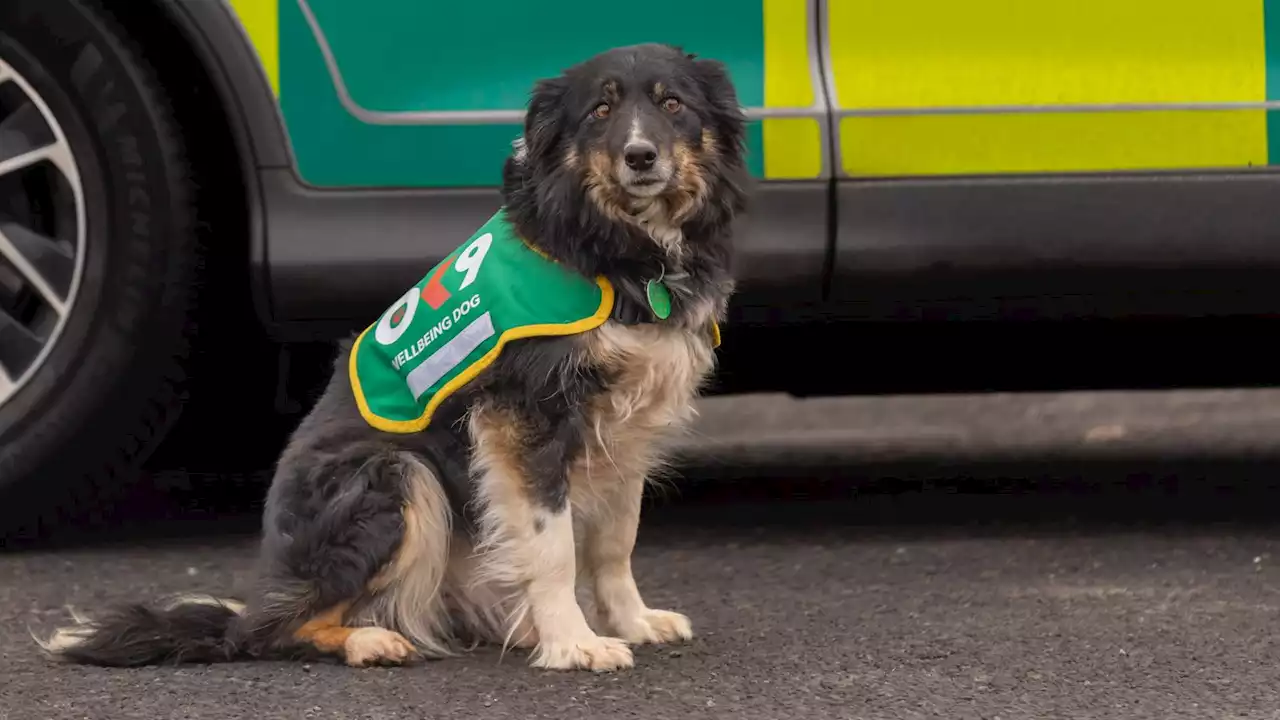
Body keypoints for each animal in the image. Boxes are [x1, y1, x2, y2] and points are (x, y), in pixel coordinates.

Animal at [35, 41, 747, 671]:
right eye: (600, 110)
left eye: (673, 103)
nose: (640, 155)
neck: (617, 247)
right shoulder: (525, 415)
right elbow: (552, 548)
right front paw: (574, 644)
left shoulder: (629, 423)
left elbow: (614, 541)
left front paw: (631, 621)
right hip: (396, 477)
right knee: (274, 630)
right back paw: (367, 640)